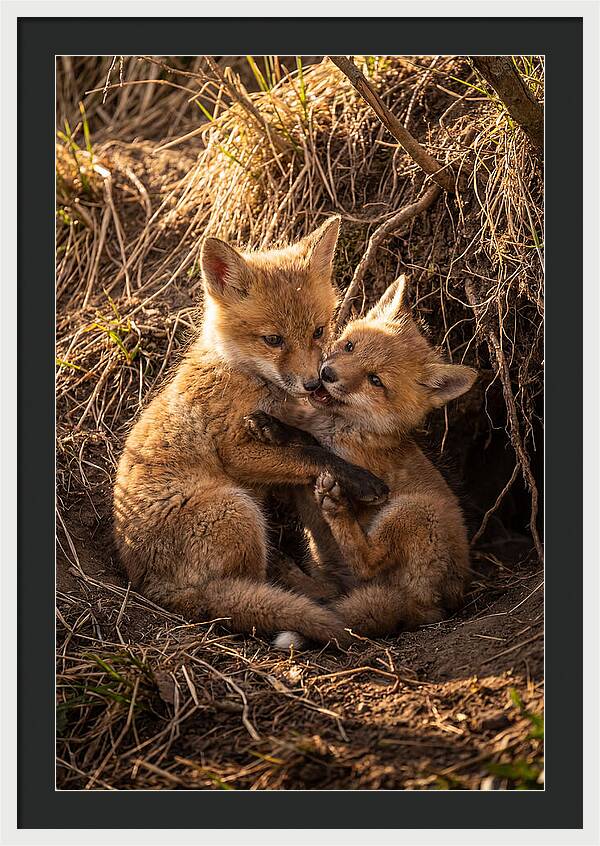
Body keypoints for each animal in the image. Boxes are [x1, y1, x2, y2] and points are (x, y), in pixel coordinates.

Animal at [113, 217, 389, 646]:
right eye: (273, 340)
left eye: (318, 331)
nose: (313, 384)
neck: (242, 374)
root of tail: (153, 589)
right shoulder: (236, 451)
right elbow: (312, 453)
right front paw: (361, 480)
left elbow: (305, 441)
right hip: (237, 508)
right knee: (251, 588)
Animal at [244, 274, 478, 649]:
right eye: (350, 346)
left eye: (375, 380)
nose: (327, 373)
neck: (343, 427)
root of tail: (435, 608)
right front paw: (272, 425)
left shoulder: (351, 464)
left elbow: (313, 445)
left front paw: (280, 431)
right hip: (331, 564)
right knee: (330, 593)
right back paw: (289, 572)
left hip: (413, 511)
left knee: (368, 561)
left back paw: (336, 509)